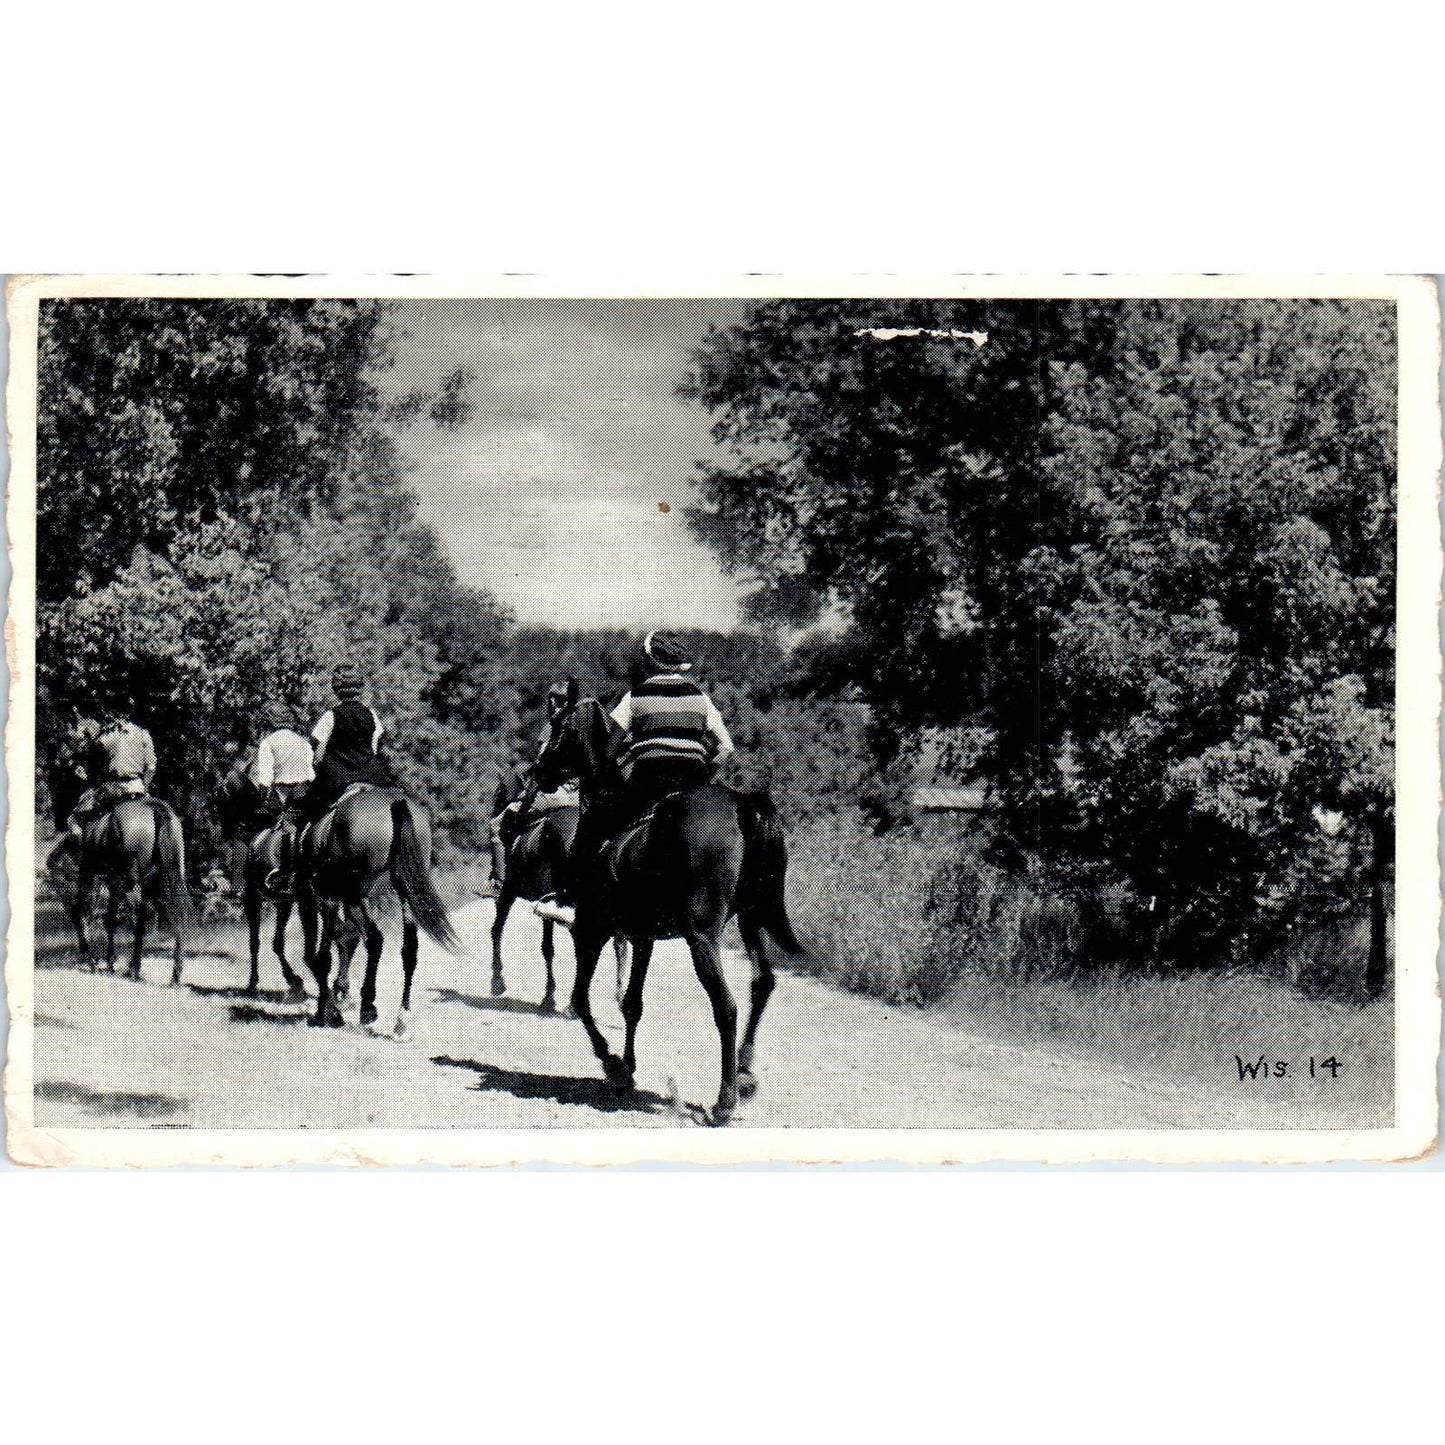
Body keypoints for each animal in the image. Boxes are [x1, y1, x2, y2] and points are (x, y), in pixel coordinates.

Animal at [66, 797, 190, 988]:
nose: (73, 817)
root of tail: (154, 807)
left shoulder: (104, 876)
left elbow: (109, 918)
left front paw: (107, 961)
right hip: (169, 877)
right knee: (174, 916)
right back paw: (174, 975)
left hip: (130, 880)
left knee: (139, 915)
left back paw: (133, 967)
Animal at [302, 786, 459, 1034]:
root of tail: (395, 803)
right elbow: (343, 940)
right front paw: (337, 998)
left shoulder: (323, 899)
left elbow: (323, 956)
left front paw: (329, 1010)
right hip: (403, 893)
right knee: (409, 949)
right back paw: (401, 1020)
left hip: (354, 895)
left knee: (374, 940)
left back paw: (367, 1007)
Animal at [534, 693, 809, 1121]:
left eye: (557, 727)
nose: (538, 771)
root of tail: (743, 805)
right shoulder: (641, 937)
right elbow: (632, 1004)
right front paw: (628, 1067)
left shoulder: (591, 930)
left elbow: (580, 998)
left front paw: (612, 1063)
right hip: (749, 918)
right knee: (762, 982)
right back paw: (745, 1074)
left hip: (701, 934)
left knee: (726, 1005)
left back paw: (724, 1099)